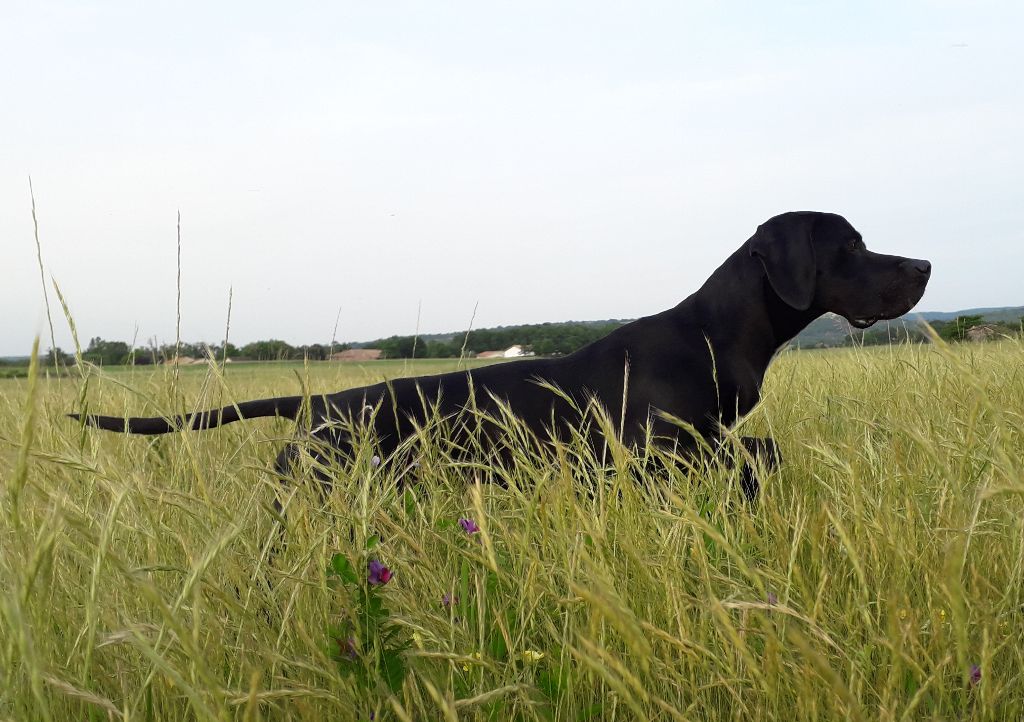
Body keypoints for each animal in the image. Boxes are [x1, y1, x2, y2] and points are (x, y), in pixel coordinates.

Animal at [75, 210, 933, 497]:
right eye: (852, 246)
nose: (925, 266)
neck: (715, 335)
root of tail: (318, 402)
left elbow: (762, 452)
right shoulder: (663, 457)